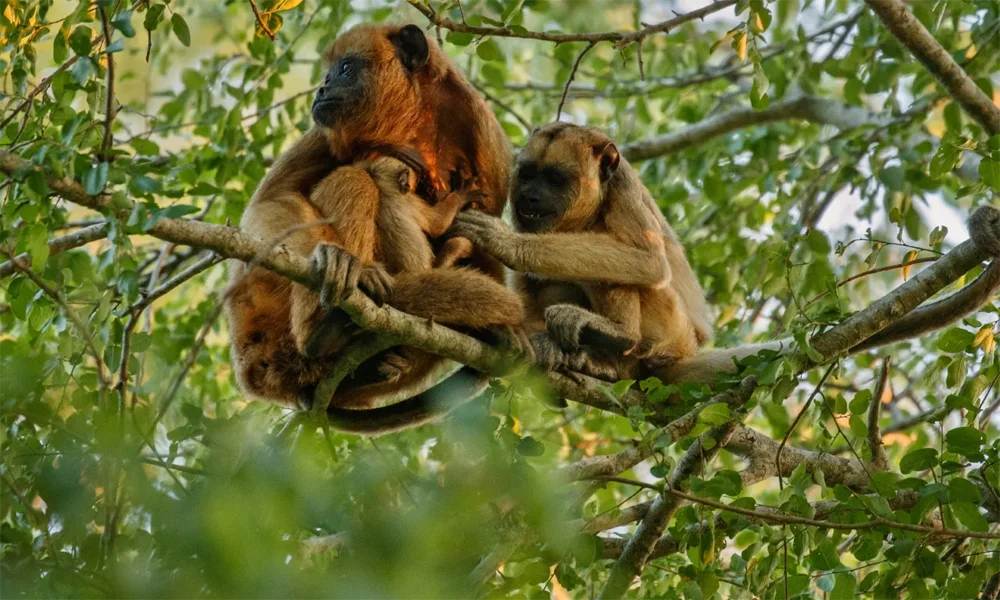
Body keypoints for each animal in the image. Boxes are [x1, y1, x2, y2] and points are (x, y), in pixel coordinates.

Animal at [226, 23, 524, 432]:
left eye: (345, 68)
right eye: (328, 71)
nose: (322, 87)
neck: (414, 120)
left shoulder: (487, 142)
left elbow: (484, 246)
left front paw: (498, 329)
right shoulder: (325, 130)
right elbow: (272, 201)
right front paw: (333, 259)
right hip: (261, 313)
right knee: (354, 180)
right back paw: (327, 322)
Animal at [448, 122, 713, 383]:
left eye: (555, 179)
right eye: (528, 174)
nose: (529, 196)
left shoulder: (623, 186)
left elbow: (650, 260)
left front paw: (507, 243)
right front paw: (509, 333)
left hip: (672, 328)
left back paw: (620, 334)